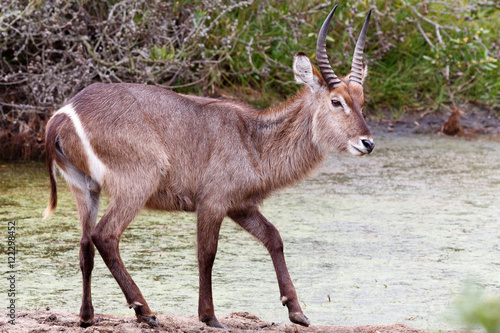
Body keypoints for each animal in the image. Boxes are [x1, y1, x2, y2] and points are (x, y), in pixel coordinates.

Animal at [44, 5, 376, 326]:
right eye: (336, 101)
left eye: (362, 100)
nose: (368, 143)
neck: (254, 140)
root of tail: (63, 114)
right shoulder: (212, 201)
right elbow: (207, 254)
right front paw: (209, 315)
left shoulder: (240, 205)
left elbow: (274, 238)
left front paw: (296, 310)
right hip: (137, 183)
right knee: (105, 236)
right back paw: (144, 310)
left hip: (84, 187)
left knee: (85, 244)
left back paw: (87, 316)